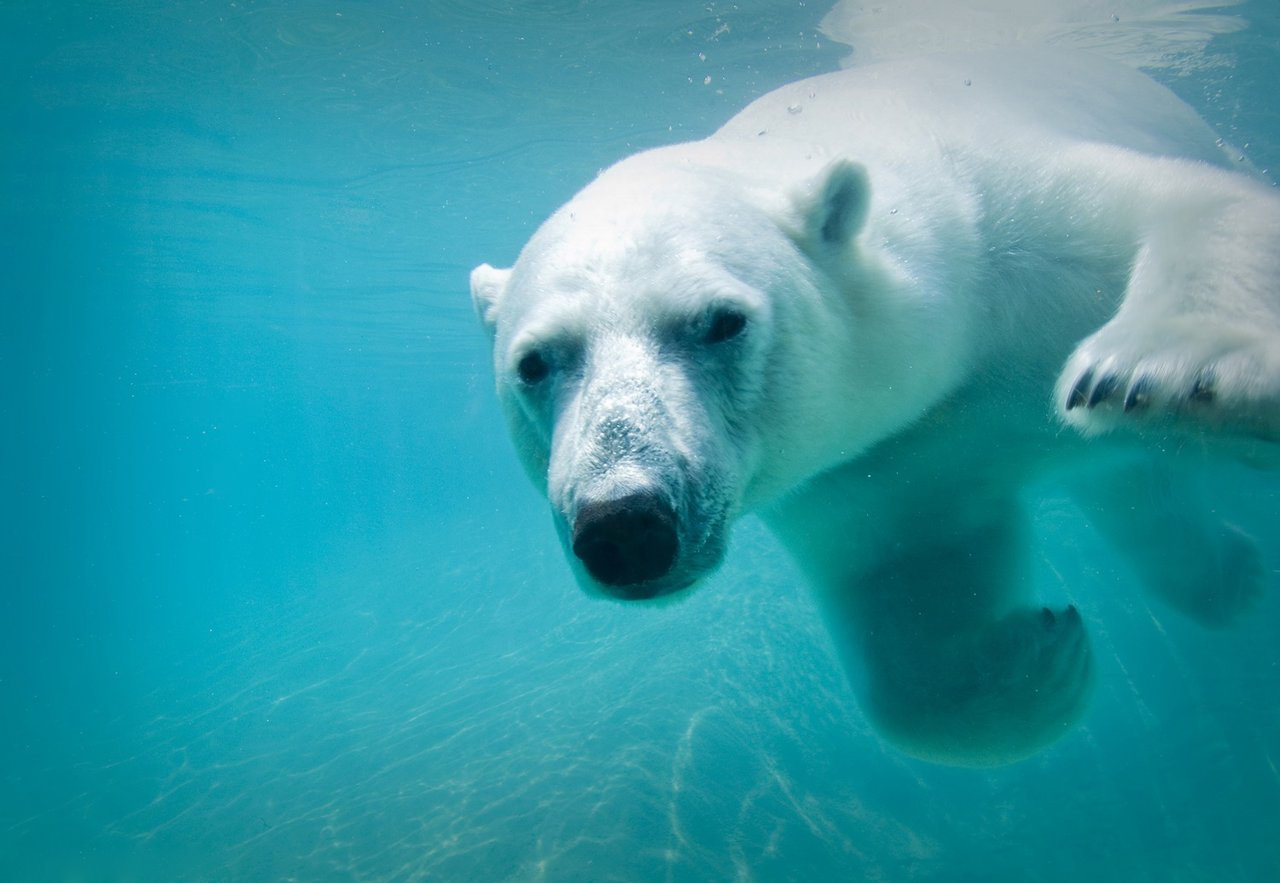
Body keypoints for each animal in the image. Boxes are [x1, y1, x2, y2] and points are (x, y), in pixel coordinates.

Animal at [470, 49, 1279, 766]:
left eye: (722, 322)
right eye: (535, 362)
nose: (625, 524)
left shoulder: (1020, 230)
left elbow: (1191, 205)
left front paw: (1159, 368)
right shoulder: (881, 465)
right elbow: (909, 611)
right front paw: (1043, 655)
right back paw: (1232, 575)